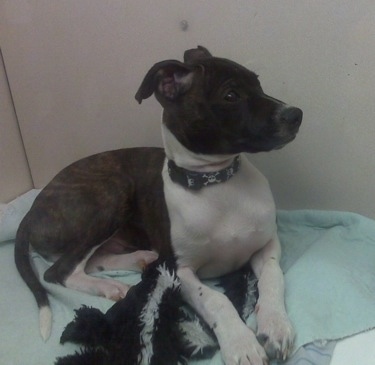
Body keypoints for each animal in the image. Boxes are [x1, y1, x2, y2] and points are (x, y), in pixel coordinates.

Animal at [15, 46, 302, 364]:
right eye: (231, 96)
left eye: (258, 84)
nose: (295, 115)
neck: (217, 183)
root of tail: (32, 210)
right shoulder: (180, 270)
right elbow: (217, 300)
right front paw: (241, 343)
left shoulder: (267, 245)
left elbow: (273, 277)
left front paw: (276, 326)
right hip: (112, 192)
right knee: (59, 271)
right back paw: (112, 285)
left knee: (93, 259)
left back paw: (139, 259)